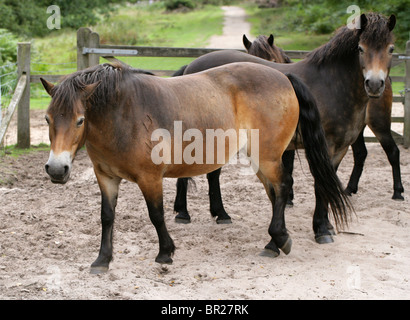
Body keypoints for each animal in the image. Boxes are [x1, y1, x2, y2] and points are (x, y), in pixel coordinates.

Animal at [40, 62, 350, 272]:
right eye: (47, 119)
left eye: (80, 120)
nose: (56, 169)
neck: (122, 114)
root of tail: (283, 76)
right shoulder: (105, 177)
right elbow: (107, 217)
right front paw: (102, 260)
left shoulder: (150, 178)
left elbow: (156, 215)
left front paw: (165, 252)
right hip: (261, 160)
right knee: (275, 194)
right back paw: (273, 244)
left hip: (269, 157)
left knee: (283, 187)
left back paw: (280, 239)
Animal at [174, 11, 398, 242]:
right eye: (360, 48)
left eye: (391, 49)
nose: (374, 84)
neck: (332, 84)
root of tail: (190, 67)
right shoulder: (323, 147)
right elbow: (320, 185)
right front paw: (321, 229)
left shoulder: (339, 149)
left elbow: (327, 183)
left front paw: (326, 225)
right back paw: (185, 213)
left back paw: (219, 213)